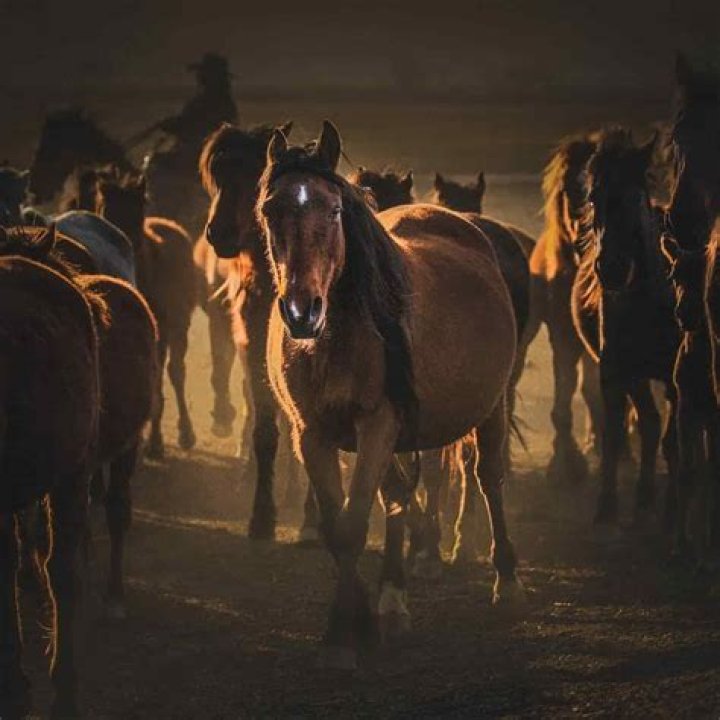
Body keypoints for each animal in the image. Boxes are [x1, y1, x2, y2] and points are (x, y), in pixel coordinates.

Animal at [96, 170, 197, 457]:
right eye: (106, 210)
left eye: (138, 210)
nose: (122, 245)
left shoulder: (160, 332)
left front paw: (155, 442)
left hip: (179, 326)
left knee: (176, 372)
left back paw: (185, 433)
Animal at [200, 121, 318, 540]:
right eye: (216, 175)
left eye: (255, 177)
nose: (218, 233)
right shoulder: (253, 351)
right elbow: (266, 428)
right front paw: (263, 515)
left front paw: (311, 519)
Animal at [236, 120, 522, 668]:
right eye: (270, 211)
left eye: (334, 210)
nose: (302, 311)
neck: (337, 338)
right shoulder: (312, 434)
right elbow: (338, 527)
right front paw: (350, 626)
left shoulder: (376, 424)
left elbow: (352, 524)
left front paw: (346, 631)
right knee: (397, 496)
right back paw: (393, 598)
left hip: (490, 407)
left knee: (489, 478)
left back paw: (506, 581)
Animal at [570, 128, 680, 526]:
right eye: (593, 196)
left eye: (636, 196)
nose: (613, 269)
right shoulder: (616, 370)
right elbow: (615, 434)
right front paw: (607, 506)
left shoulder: (675, 379)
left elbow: (673, 442)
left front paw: (672, 510)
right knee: (647, 422)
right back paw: (644, 494)